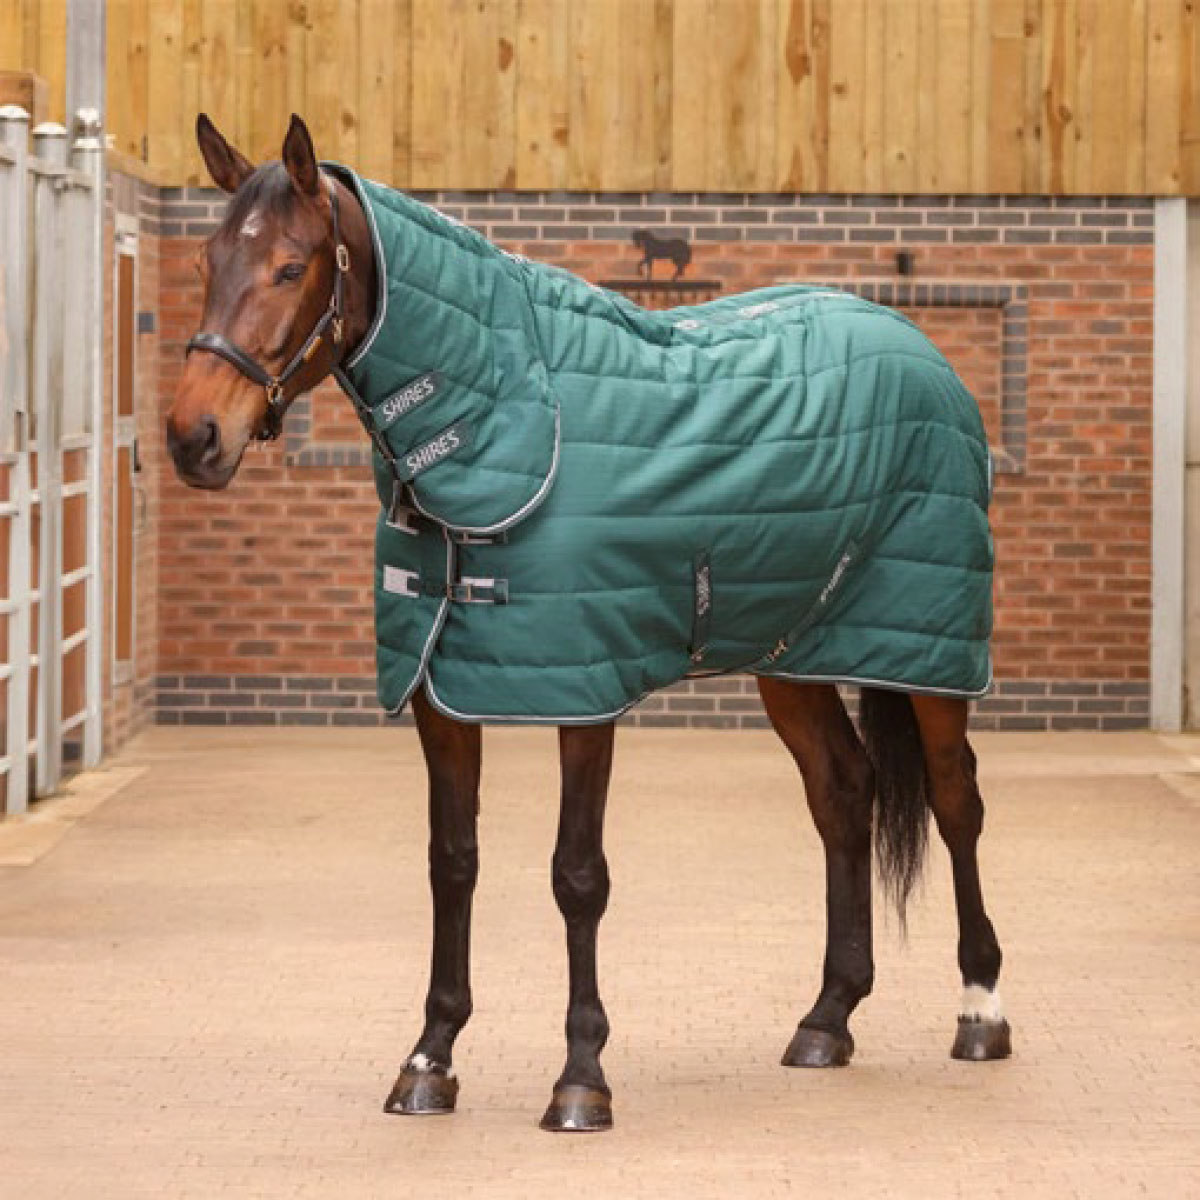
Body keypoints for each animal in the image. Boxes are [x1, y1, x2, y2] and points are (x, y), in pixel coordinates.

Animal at [166, 114, 1010, 1134]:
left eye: (291, 268)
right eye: (208, 259)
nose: (193, 438)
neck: (510, 420)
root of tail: (921, 351)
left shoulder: (583, 690)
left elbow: (578, 875)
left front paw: (581, 1078)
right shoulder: (441, 696)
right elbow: (452, 862)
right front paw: (429, 1062)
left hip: (930, 657)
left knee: (955, 800)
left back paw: (981, 1011)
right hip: (791, 655)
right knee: (843, 795)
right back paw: (827, 1019)